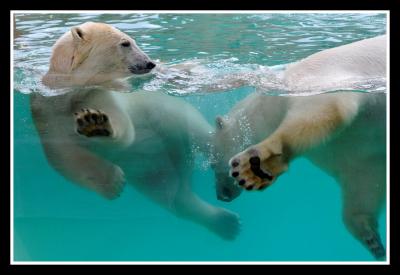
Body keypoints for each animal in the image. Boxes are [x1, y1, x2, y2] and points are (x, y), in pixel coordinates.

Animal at [30, 21, 241, 240]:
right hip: (151, 167)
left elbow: (122, 125)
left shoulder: (102, 93)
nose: (150, 63)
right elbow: (66, 157)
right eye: (126, 43)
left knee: (201, 135)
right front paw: (114, 184)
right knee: (172, 195)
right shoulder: (48, 111)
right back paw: (227, 223)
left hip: (173, 115)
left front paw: (95, 124)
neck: (71, 92)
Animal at [212, 35, 388, 260]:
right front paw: (371, 239)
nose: (222, 196)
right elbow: (364, 179)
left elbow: (326, 107)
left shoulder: (316, 82)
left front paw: (254, 166)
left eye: (213, 163)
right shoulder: (349, 148)